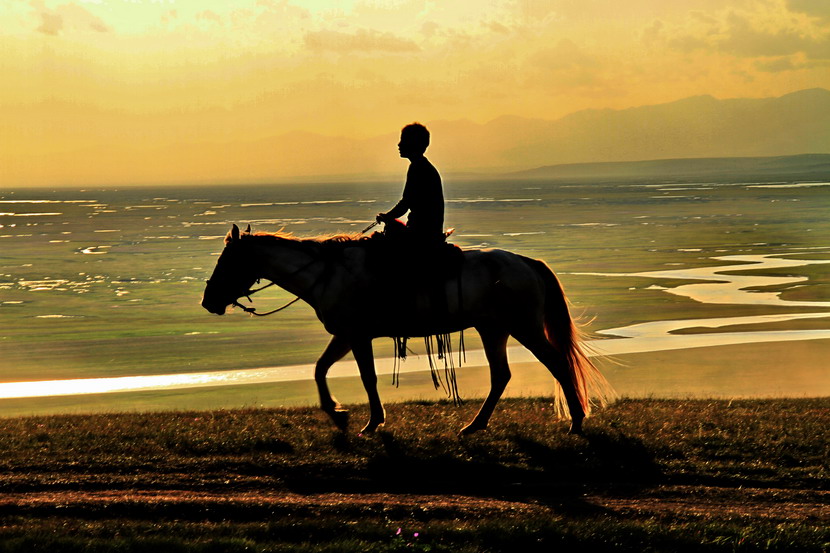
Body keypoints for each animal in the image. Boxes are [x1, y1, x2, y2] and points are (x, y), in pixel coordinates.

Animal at [204, 224, 616, 436]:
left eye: (226, 261)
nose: (208, 301)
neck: (328, 273)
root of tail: (526, 262)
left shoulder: (357, 335)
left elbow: (366, 377)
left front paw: (369, 422)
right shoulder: (346, 335)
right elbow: (320, 369)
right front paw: (338, 414)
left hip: (523, 327)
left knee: (556, 364)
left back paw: (576, 422)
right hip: (493, 329)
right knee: (502, 374)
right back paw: (473, 426)